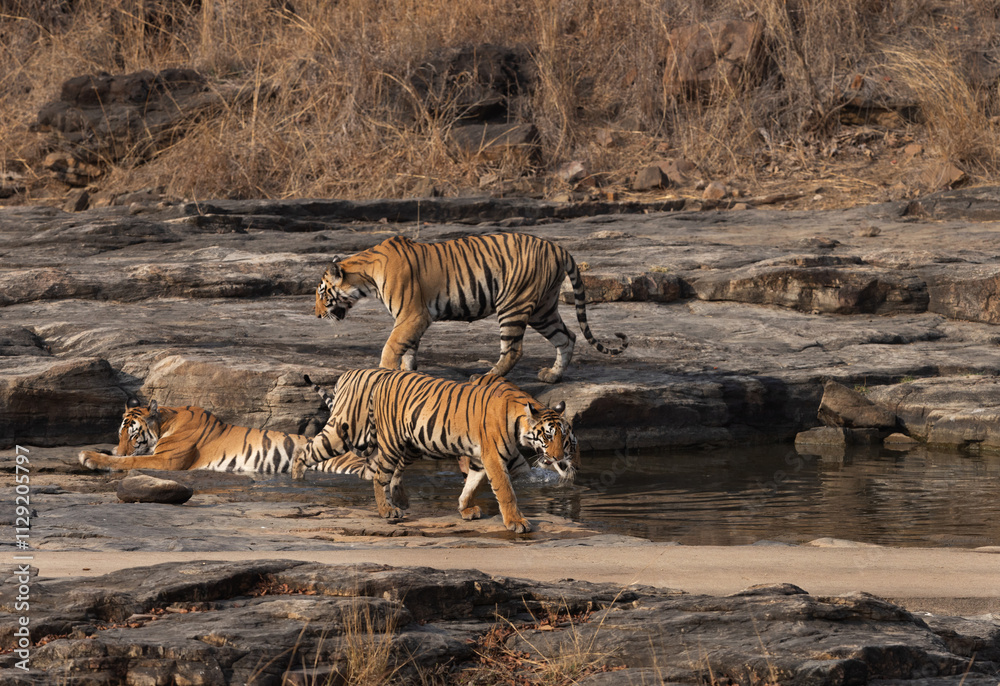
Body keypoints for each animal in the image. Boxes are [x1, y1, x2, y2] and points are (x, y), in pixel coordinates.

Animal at [77, 393, 369, 475]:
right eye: (119, 435)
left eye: (133, 435)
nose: (120, 446)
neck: (166, 422)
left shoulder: (167, 460)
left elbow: (131, 460)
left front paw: (90, 456)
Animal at [311, 369, 578, 533]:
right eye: (548, 436)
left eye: (564, 439)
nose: (558, 457)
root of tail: (382, 380)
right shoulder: (494, 458)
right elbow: (506, 492)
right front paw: (517, 522)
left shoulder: (480, 459)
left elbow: (471, 484)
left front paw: (465, 509)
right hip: (391, 442)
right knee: (379, 476)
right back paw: (387, 510)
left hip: (410, 444)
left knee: (393, 474)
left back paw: (399, 502)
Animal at [313, 232, 628, 384]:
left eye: (321, 293)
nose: (316, 315)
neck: (365, 276)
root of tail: (557, 247)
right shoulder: (411, 319)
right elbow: (409, 351)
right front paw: (407, 373)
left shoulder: (412, 315)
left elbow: (392, 347)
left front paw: (384, 373)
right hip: (543, 308)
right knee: (567, 337)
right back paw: (552, 375)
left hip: (513, 303)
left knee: (514, 349)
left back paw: (486, 378)